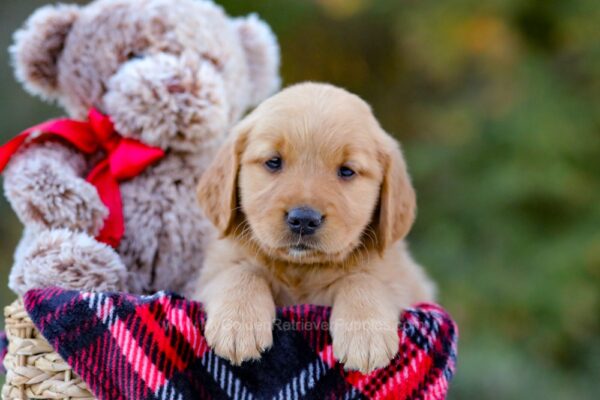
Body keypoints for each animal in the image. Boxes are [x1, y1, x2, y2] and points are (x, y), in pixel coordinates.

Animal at [195, 83, 434, 374]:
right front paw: (238, 324)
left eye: (347, 171)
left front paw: (366, 334)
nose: (304, 219)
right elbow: (241, 271)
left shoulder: (406, 282)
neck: (301, 269)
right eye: (273, 162)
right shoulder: (211, 272)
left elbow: (363, 278)